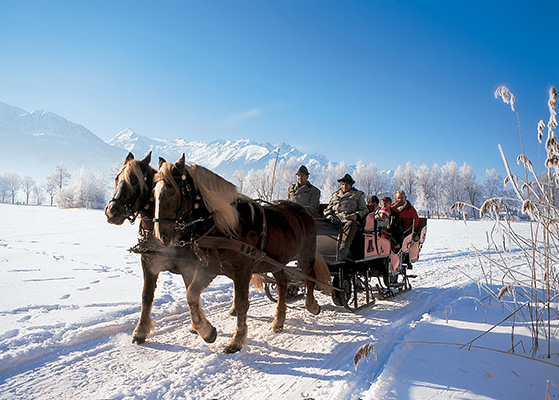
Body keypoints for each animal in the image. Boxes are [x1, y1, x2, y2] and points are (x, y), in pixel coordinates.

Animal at [152, 156, 332, 354]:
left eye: (171, 192)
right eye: (154, 193)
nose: (160, 235)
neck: (224, 226)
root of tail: (304, 212)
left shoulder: (242, 271)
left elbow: (241, 304)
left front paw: (236, 341)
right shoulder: (209, 267)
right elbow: (191, 294)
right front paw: (207, 332)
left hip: (305, 253)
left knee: (309, 278)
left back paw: (312, 306)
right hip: (275, 261)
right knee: (283, 284)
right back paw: (278, 321)